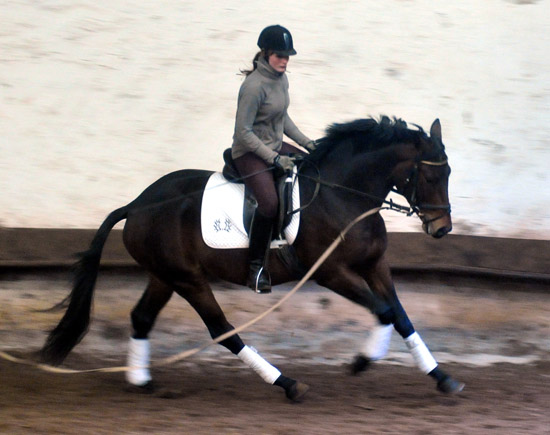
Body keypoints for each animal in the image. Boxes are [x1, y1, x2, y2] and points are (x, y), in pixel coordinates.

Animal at [41, 116, 466, 402]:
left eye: (448, 174)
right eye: (432, 176)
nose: (442, 228)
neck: (343, 195)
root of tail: (138, 203)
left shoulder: (374, 265)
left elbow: (401, 315)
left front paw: (442, 378)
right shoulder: (330, 272)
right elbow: (384, 311)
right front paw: (363, 360)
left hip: (165, 275)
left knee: (142, 318)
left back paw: (140, 380)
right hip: (188, 279)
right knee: (221, 329)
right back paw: (288, 384)